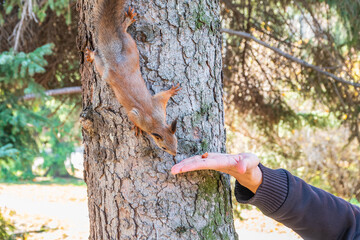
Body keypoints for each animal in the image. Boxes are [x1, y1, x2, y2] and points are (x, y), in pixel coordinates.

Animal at [84, 0, 180, 156]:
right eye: (163, 147)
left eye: (175, 141)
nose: (175, 153)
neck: (155, 121)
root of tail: (114, 58)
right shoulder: (138, 115)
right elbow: (134, 117)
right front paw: (137, 128)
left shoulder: (158, 105)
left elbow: (163, 95)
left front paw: (172, 90)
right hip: (112, 63)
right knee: (120, 32)